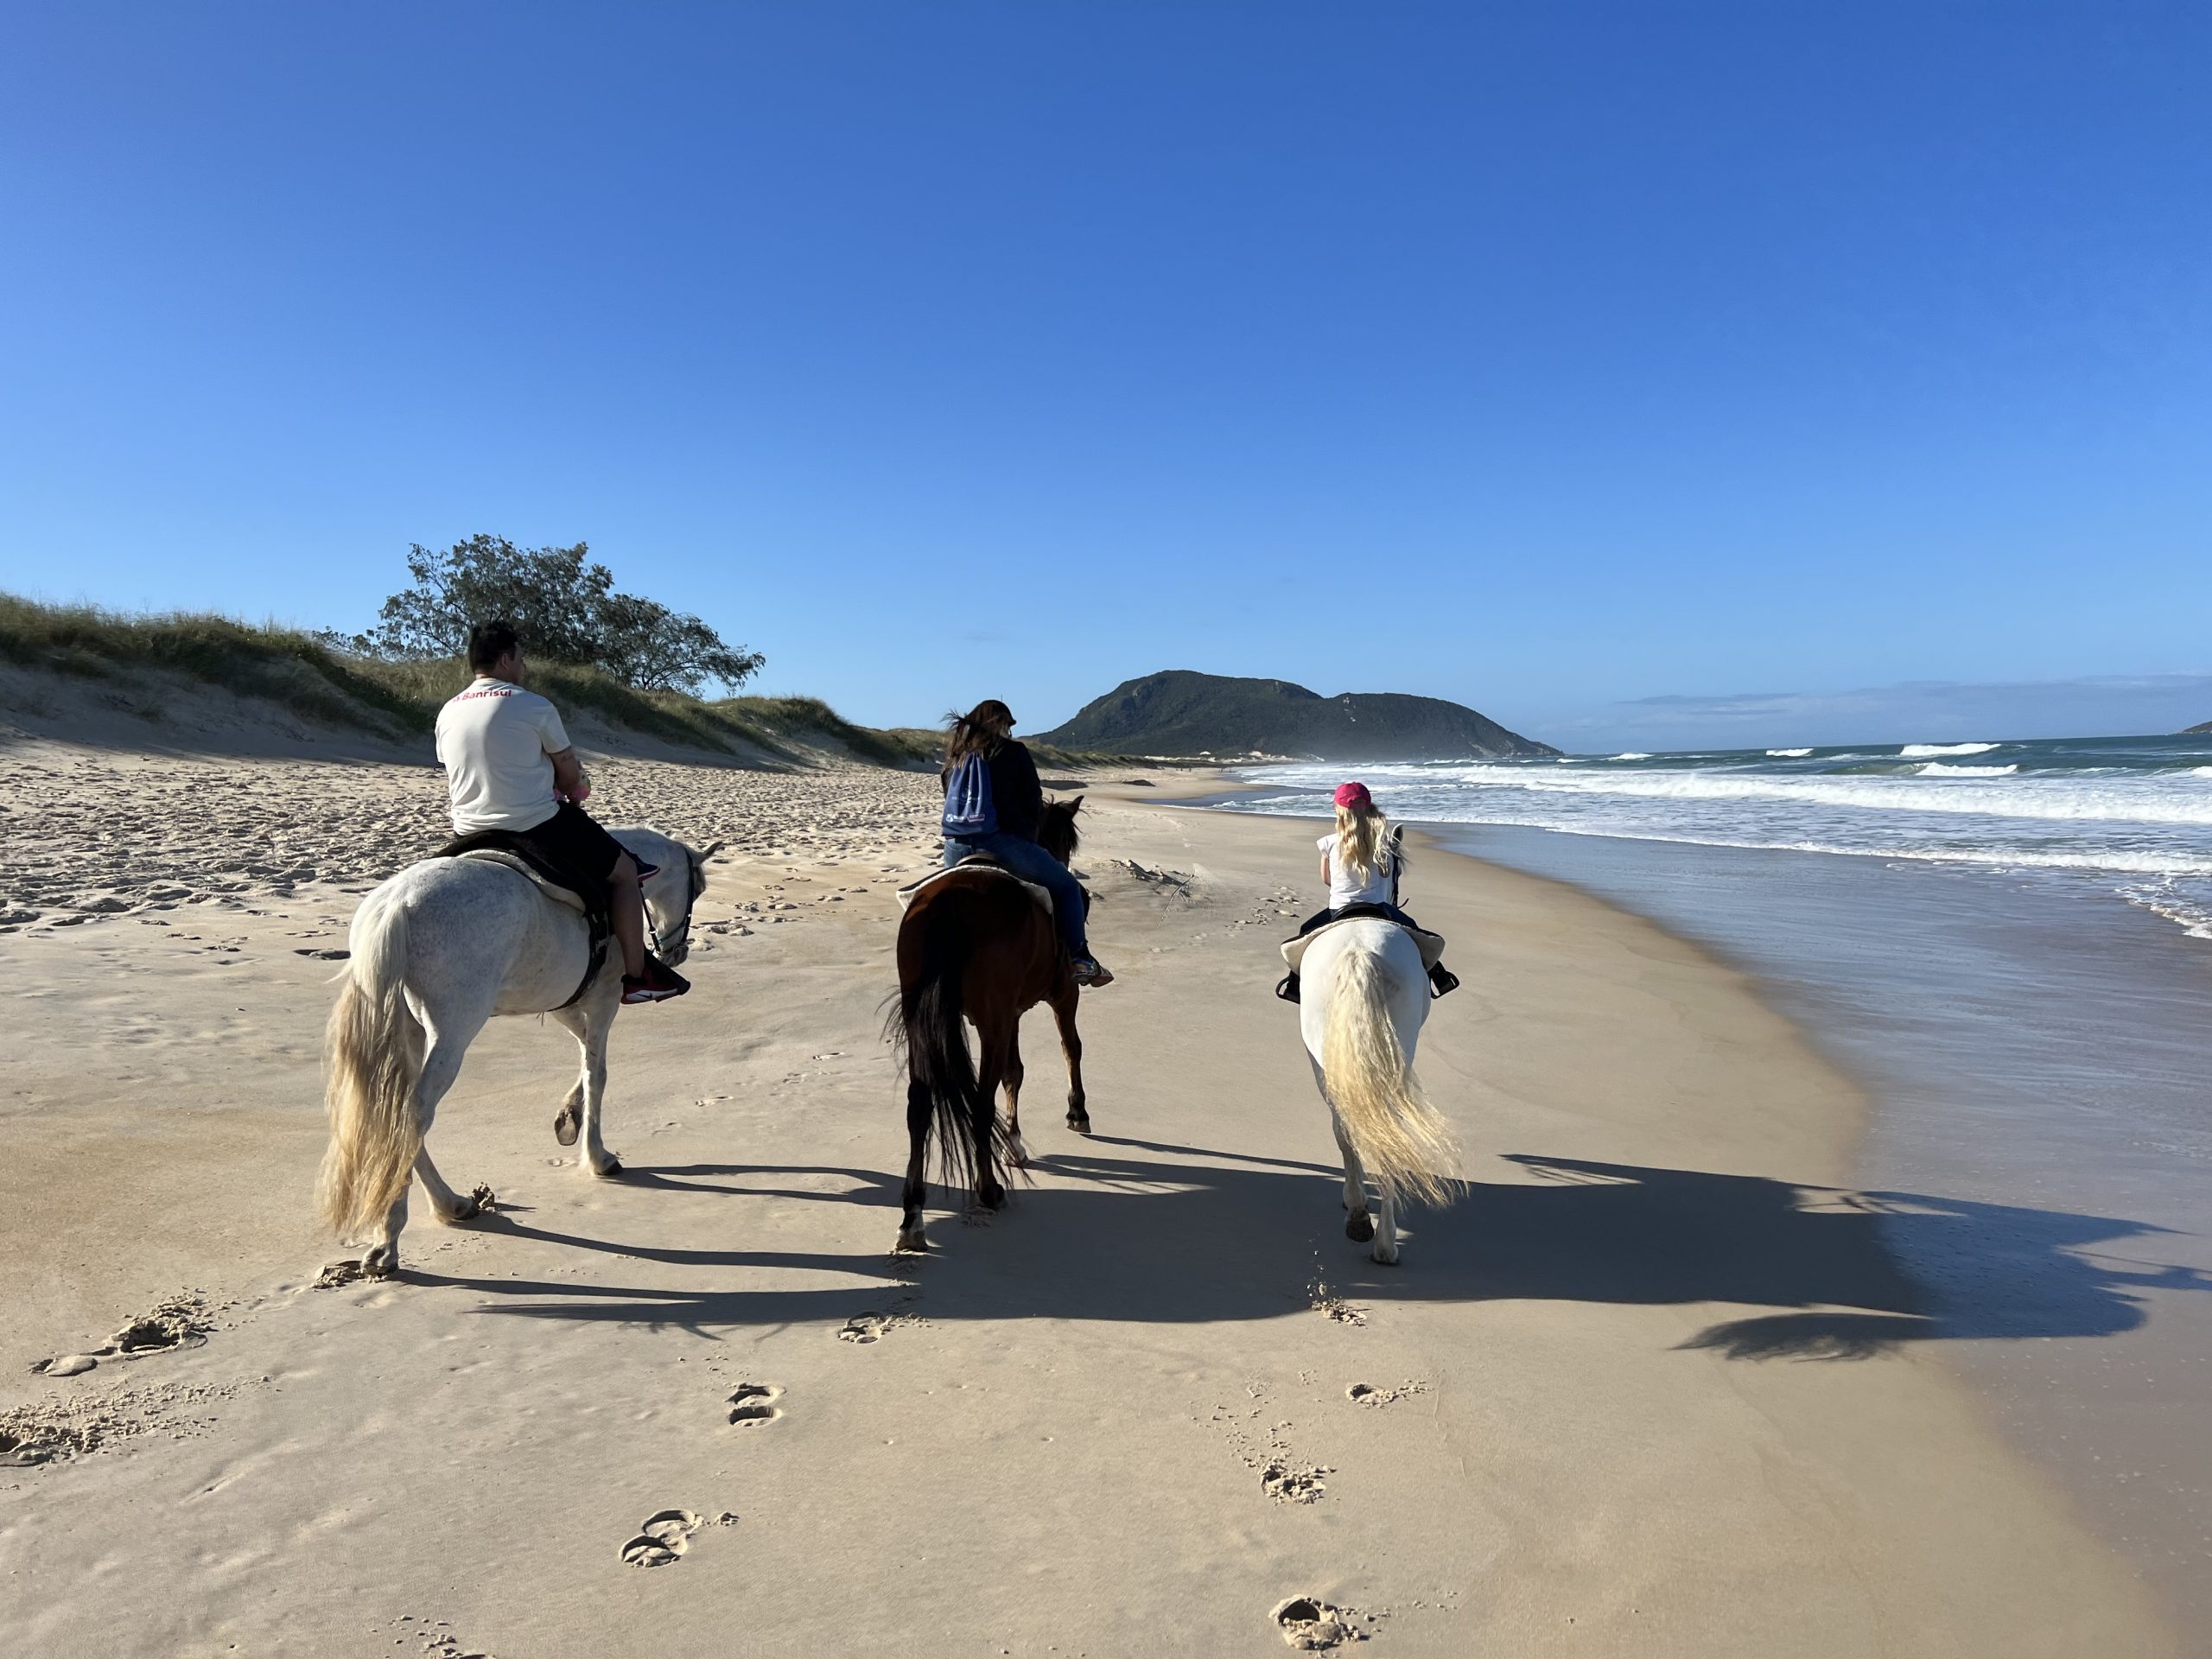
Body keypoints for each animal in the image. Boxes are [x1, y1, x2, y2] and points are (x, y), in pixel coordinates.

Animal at [316, 827, 716, 1282]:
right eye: (698, 887)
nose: (677, 952)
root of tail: (397, 904)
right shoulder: (603, 998)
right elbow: (597, 1071)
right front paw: (598, 1156)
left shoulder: (561, 1000)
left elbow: (584, 1053)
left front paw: (569, 1116)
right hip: (453, 1030)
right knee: (414, 1114)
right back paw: (390, 1239)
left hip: (407, 1030)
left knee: (399, 1113)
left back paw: (450, 1205)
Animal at [893, 800, 1092, 1256]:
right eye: (1066, 840)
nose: (1065, 862)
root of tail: (950, 904)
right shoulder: (1062, 995)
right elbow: (1070, 1048)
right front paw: (1077, 1112)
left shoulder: (1010, 1013)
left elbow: (1014, 1072)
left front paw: (1015, 1143)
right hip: (993, 1019)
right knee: (980, 1103)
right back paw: (988, 1191)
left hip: (924, 1020)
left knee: (920, 1104)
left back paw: (913, 1217)